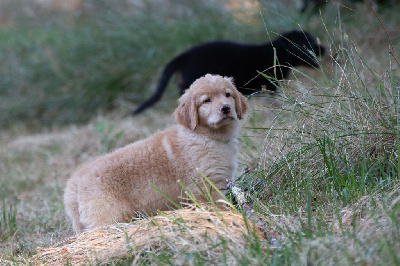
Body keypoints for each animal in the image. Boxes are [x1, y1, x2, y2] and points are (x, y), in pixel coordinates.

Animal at [64, 74, 248, 233]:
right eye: (206, 101)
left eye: (228, 95)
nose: (226, 108)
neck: (204, 137)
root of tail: (73, 184)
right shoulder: (206, 187)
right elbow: (219, 207)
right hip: (108, 215)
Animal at [134, 30, 324, 115]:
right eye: (307, 43)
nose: (324, 49)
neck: (277, 52)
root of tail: (184, 55)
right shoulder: (270, 85)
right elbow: (273, 101)